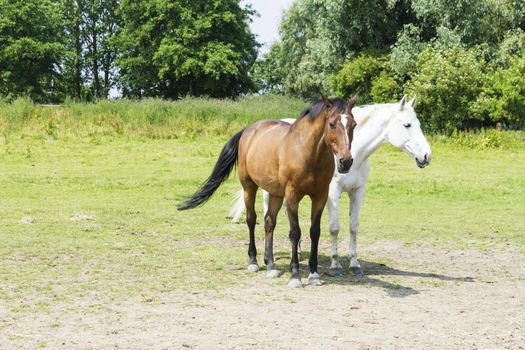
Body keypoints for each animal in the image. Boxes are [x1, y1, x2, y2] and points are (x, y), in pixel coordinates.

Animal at [179, 95, 356, 288]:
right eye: (332, 124)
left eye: (353, 124)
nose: (346, 162)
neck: (308, 152)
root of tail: (248, 130)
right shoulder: (292, 195)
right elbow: (295, 232)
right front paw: (295, 276)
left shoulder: (320, 196)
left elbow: (314, 232)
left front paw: (314, 274)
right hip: (249, 187)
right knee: (251, 220)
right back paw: (254, 262)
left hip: (275, 193)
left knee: (269, 222)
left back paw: (270, 265)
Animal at [228, 95, 430, 276]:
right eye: (407, 125)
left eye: (418, 124)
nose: (427, 156)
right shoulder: (332, 193)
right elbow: (334, 227)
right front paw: (335, 265)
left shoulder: (358, 191)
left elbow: (353, 227)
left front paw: (355, 265)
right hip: (261, 189)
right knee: (261, 218)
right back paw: (260, 260)